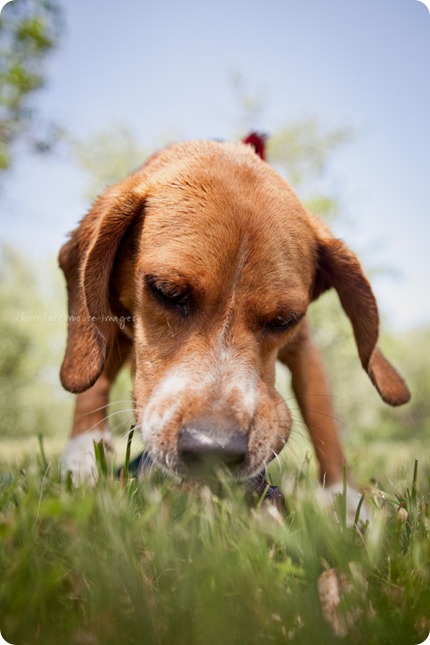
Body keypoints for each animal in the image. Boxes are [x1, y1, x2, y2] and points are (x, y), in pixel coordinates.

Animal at [58, 137, 410, 524]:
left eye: (285, 319)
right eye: (167, 291)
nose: (213, 448)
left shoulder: (304, 348)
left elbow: (324, 426)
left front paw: (347, 508)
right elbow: (94, 384)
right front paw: (81, 461)